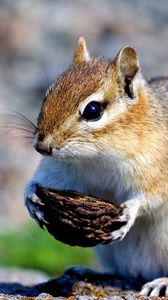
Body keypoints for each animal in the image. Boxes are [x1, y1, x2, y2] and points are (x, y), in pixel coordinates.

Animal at [24, 37, 168, 298]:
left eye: (93, 110)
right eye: (48, 93)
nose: (41, 146)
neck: (96, 158)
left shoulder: (156, 171)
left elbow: (150, 197)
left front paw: (128, 214)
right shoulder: (61, 171)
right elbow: (40, 181)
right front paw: (31, 198)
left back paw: (161, 281)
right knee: (125, 275)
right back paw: (90, 272)